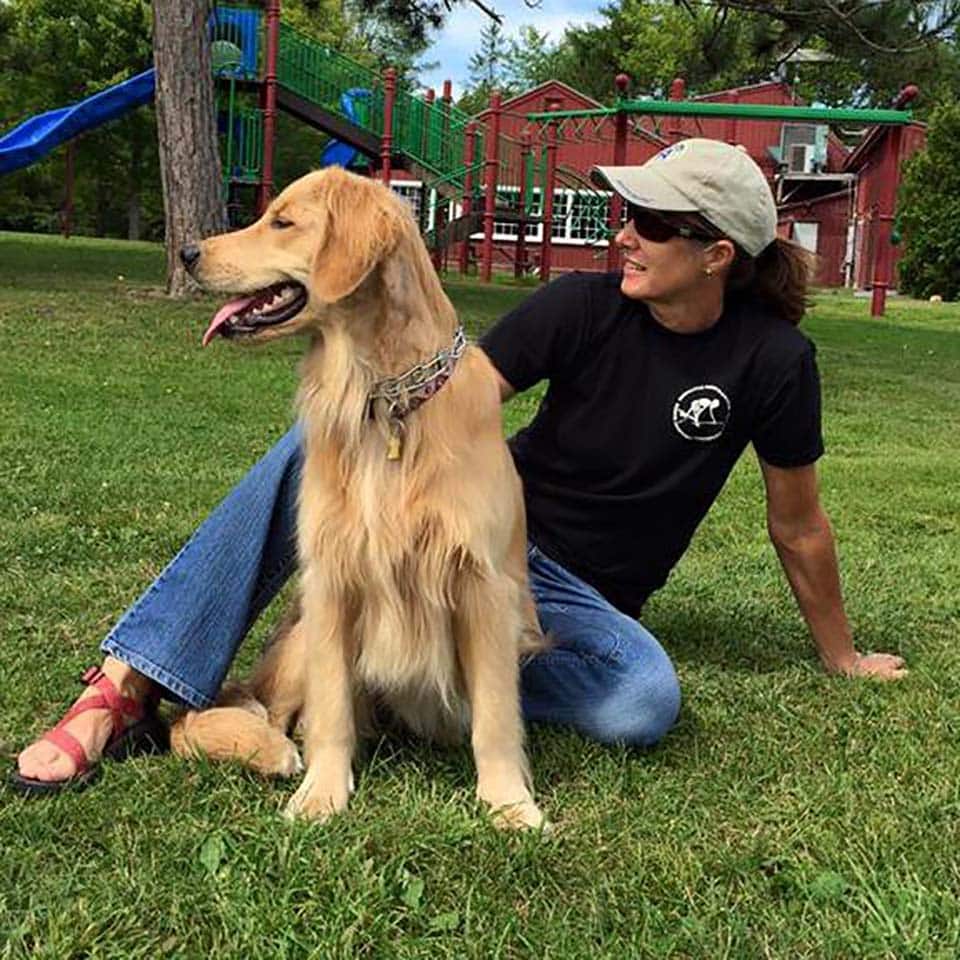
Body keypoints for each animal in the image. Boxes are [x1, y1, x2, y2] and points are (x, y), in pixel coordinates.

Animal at [172, 169, 544, 828]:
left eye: (282, 222)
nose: (189, 252)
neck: (383, 399)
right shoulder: (332, 578)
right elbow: (332, 710)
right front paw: (323, 792)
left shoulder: (484, 586)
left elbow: (496, 716)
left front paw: (507, 802)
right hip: (296, 642)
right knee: (263, 717)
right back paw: (272, 749)